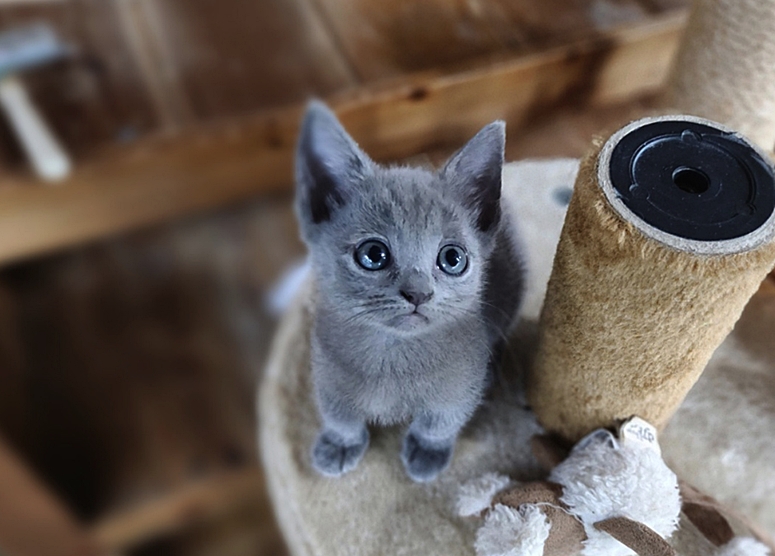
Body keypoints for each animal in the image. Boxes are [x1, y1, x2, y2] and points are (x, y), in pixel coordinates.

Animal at [295, 101, 524, 482]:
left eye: (452, 258)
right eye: (373, 254)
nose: (419, 293)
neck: (393, 358)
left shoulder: (457, 386)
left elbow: (441, 420)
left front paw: (428, 450)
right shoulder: (327, 371)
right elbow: (339, 414)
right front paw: (340, 442)